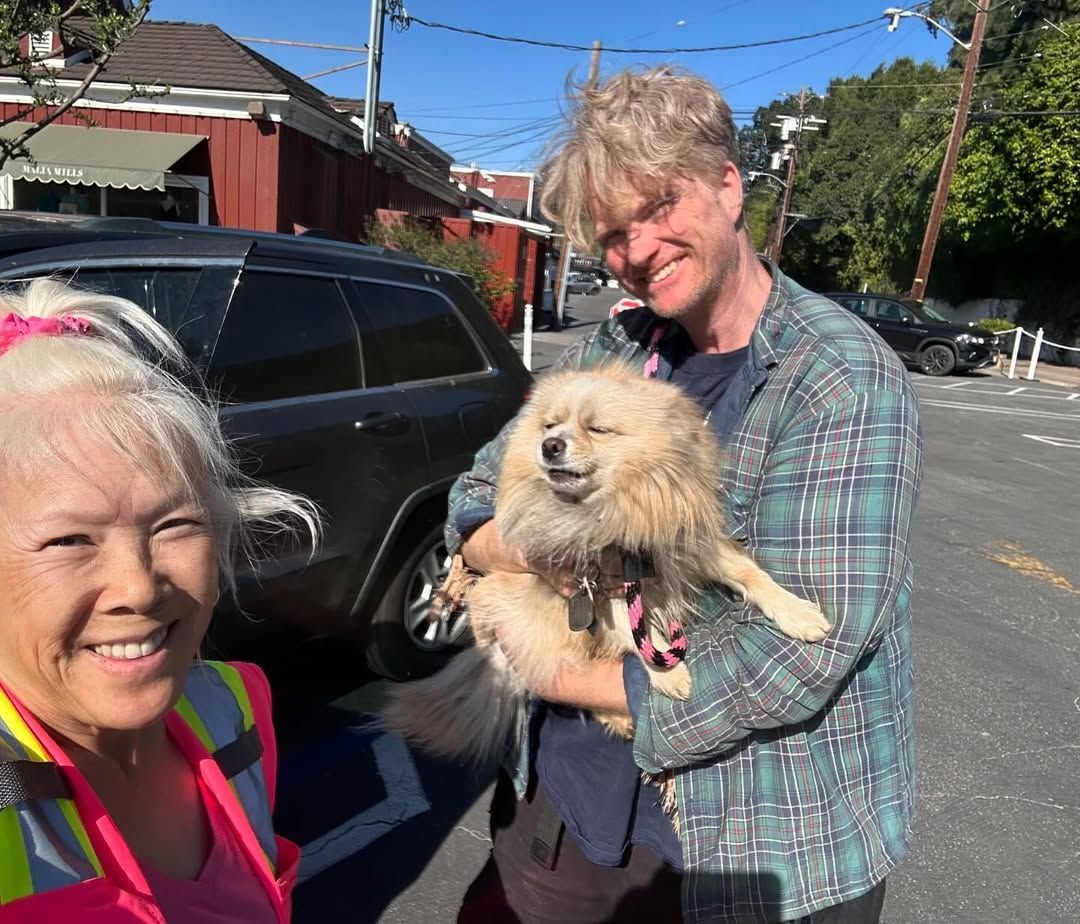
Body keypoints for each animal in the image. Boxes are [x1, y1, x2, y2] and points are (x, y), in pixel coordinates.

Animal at [384, 362, 829, 764]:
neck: (617, 508)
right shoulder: (597, 585)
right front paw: (668, 672)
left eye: (597, 429)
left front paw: (798, 612)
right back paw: (619, 716)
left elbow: (749, 573)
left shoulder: (689, 543)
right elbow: (636, 633)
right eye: (550, 426)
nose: (550, 445)